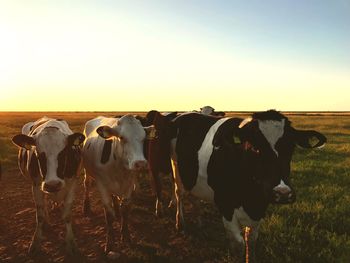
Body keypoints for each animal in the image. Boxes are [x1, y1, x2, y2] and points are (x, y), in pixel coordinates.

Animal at [11, 117, 85, 256]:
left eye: (64, 152)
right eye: (39, 154)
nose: (53, 184)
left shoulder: (72, 184)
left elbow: (67, 215)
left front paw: (71, 243)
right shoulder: (36, 185)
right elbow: (39, 216)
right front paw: (35, 243)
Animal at [81, 115, 154, 258]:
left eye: (143, 138)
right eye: (122, 137)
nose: (140, 163)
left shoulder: (129, 184)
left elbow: (125, 210)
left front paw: (126, 237)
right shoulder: (102, 184)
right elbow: (108, 215)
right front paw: (110, 243)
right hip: (87, 172)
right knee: (86, 185)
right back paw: (86, 207)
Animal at [168, 110, 326, 262]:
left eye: (290, 147)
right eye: (255, 148)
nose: (282, 193)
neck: (251, 197)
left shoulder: (259, 208)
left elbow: (251, 240)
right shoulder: (225, 204)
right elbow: (239, 244)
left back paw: (200, 223)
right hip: (175, 166)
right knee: (179, 193)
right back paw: (179, 223)